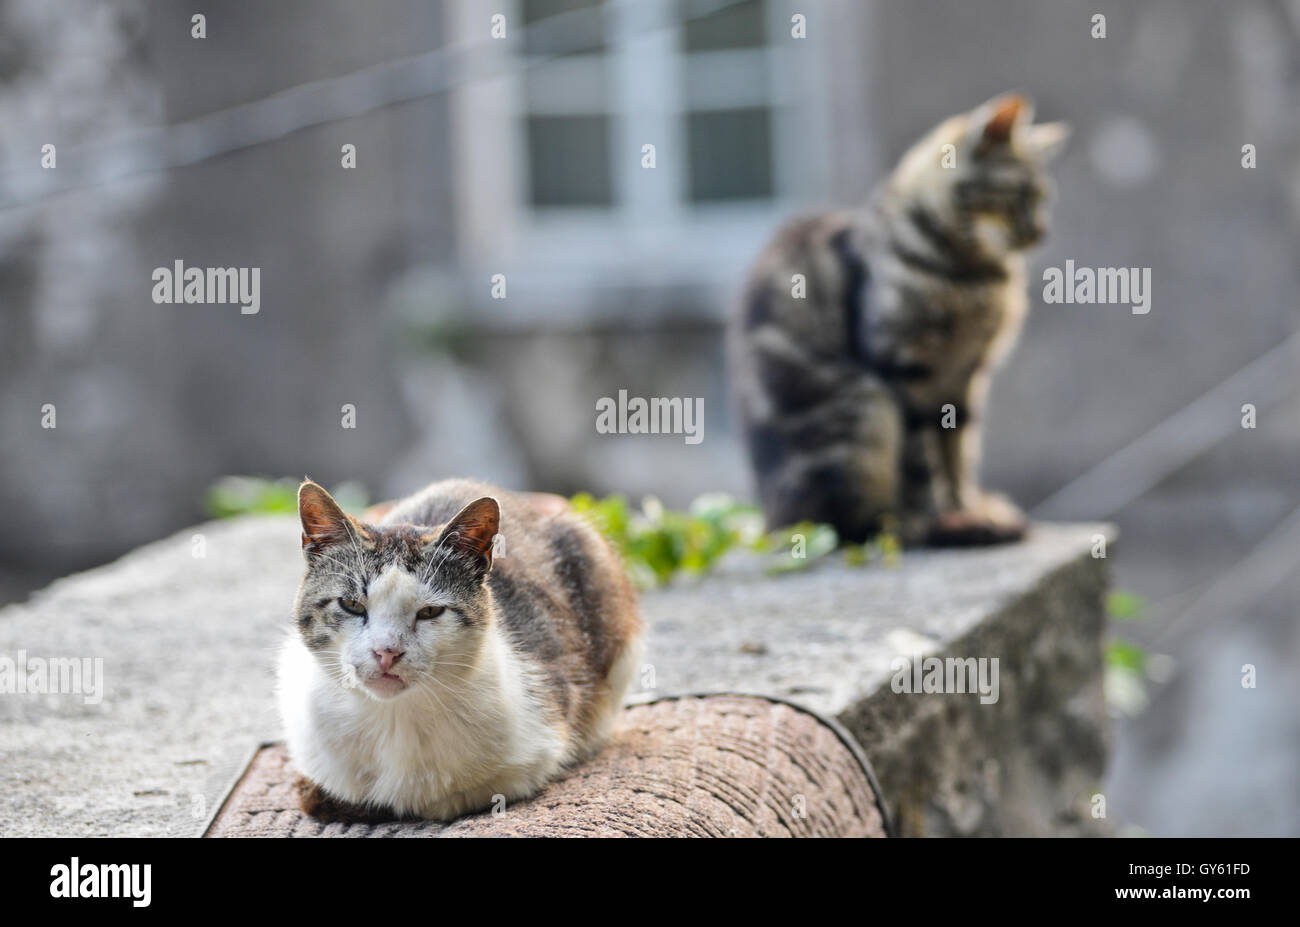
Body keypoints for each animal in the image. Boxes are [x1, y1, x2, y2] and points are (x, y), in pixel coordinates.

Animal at [276, 478, 642, 816]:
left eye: (429, 612)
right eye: (351, 605)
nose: (386, 652)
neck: (393, 715)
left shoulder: (540, 733)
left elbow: (447, 798)